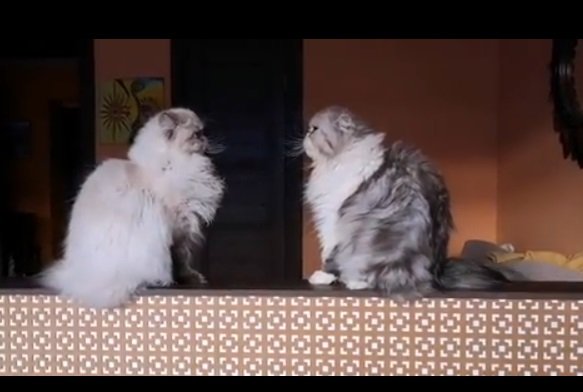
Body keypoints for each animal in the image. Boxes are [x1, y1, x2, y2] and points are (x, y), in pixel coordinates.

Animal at [40, 108, 225, 310]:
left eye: (203, 133)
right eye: (196, 134)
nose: (205, 138)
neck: (171, 164)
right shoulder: (178, 230)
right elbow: (182, 259)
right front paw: (188, 278)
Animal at [304, 105, 516, 298]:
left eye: (314, 128)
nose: (306, 133)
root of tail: (437, 274)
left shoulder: (332, 220)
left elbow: (330, 254)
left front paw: (323, 276)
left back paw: (355, 282)